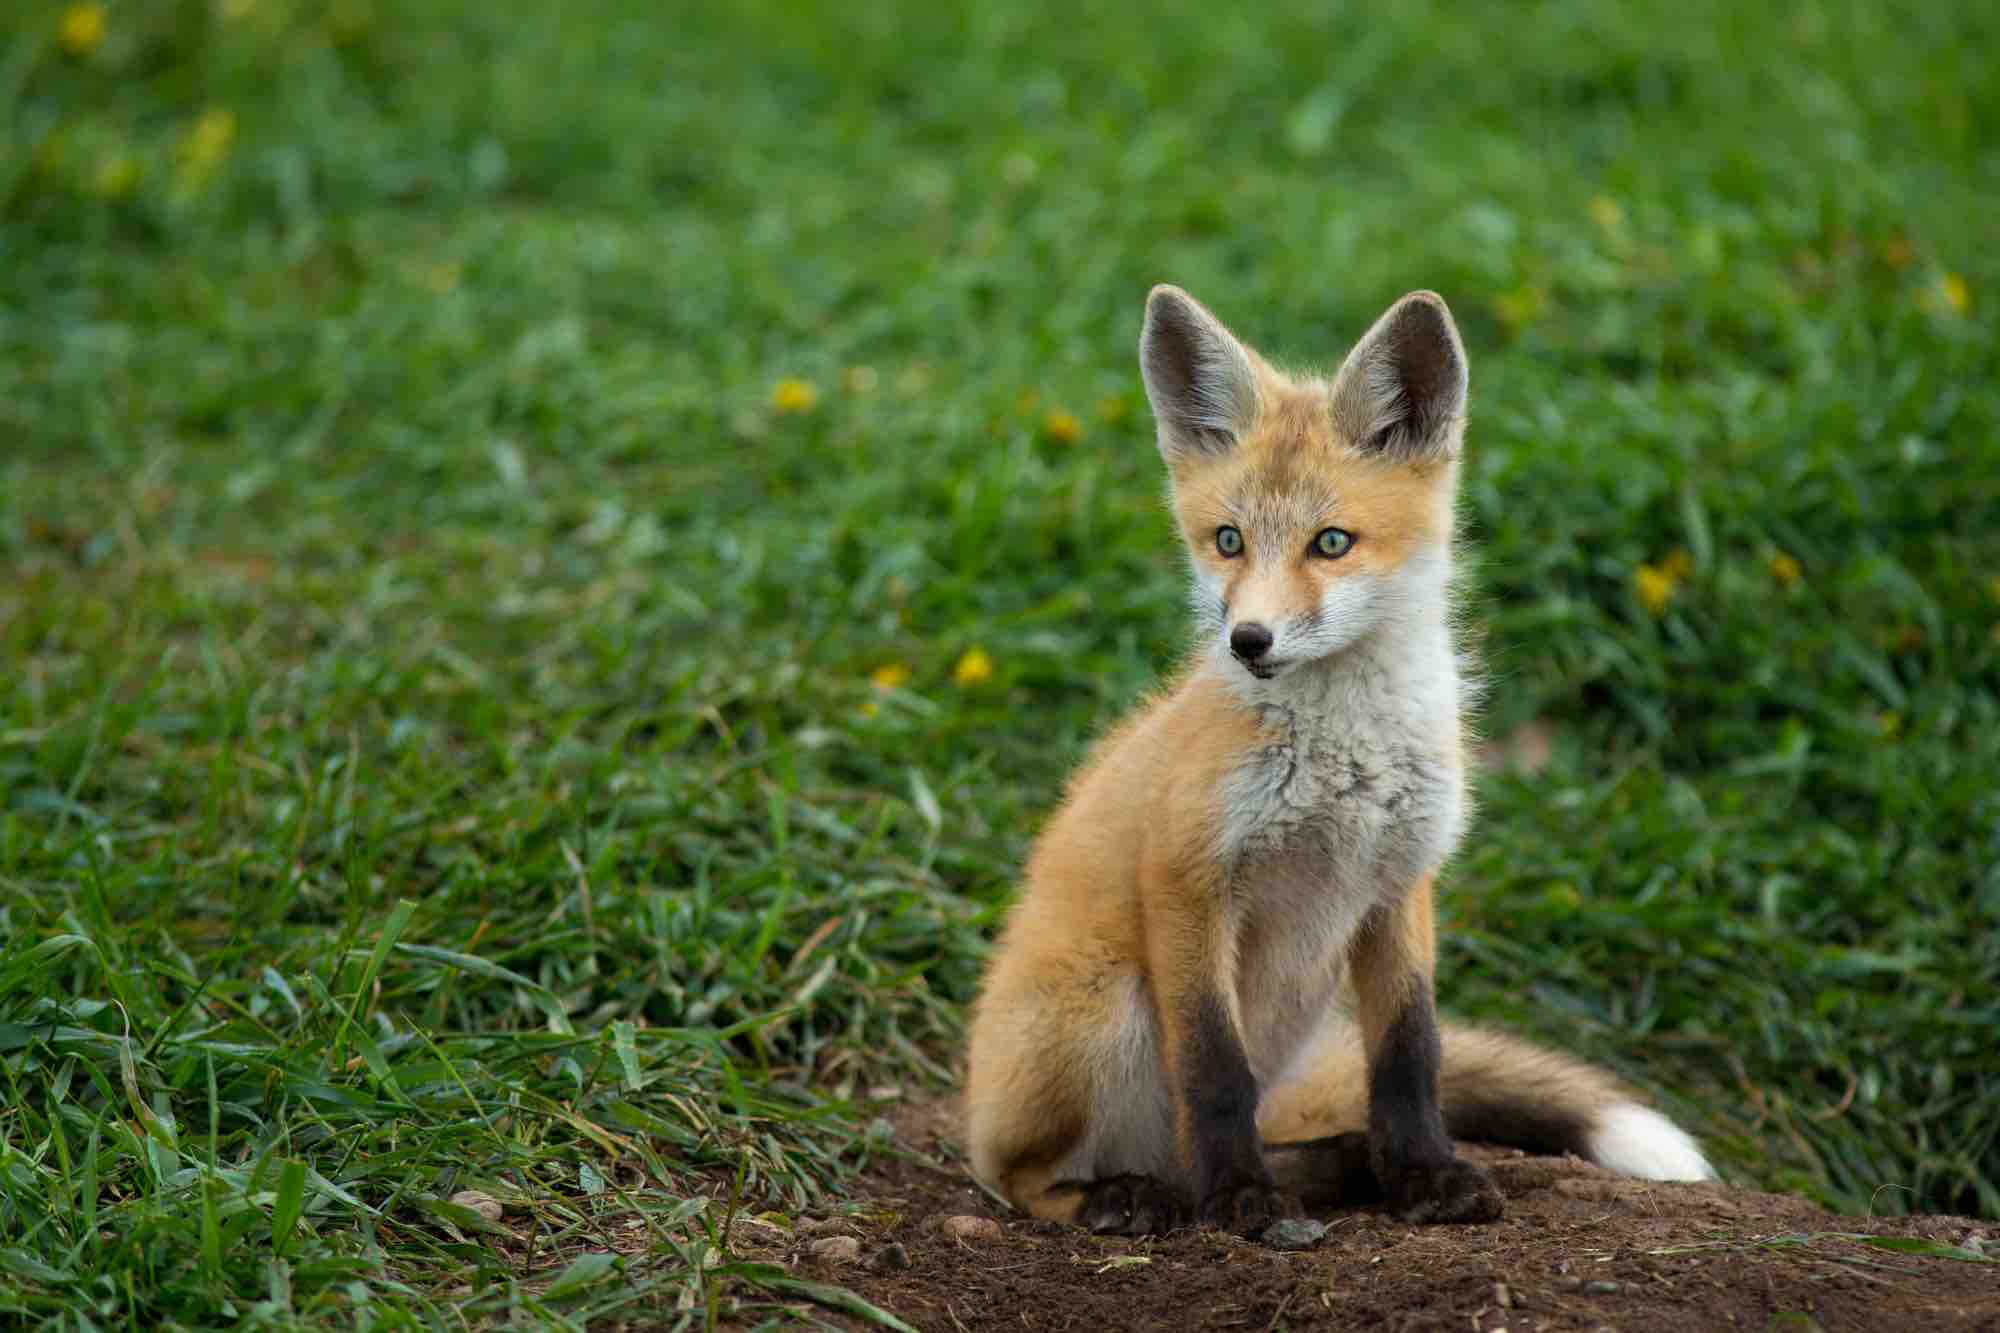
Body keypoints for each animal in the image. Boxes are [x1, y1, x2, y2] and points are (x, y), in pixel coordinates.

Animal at [960, 286, 1712, 1232]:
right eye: (1229, 541)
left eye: (1330, 543)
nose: (1248, 640)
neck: (1349, 763)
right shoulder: (1188, 879)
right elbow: (1214, 1071)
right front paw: (1241, 1197)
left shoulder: (1401, 879)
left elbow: (1409, 1054)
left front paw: (1425, 1173)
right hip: (1106, 1010)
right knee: (1023, 1178)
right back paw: (1130, 1195)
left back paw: (1328, 1168)